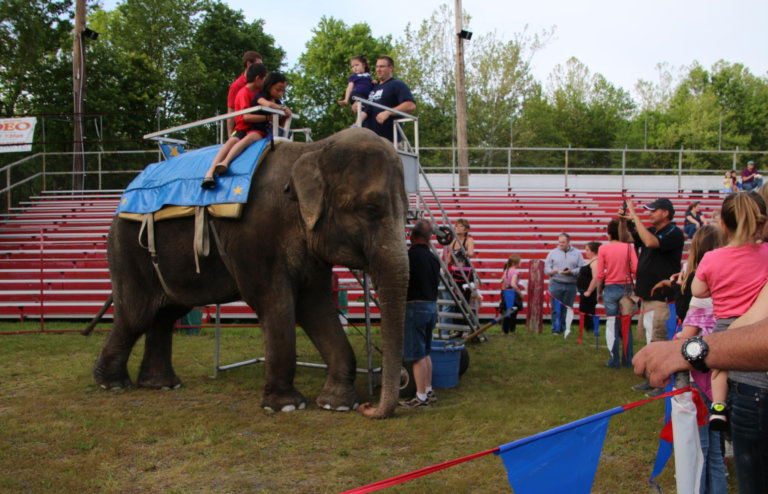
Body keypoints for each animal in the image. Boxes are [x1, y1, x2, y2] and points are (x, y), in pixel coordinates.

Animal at [90, 126, 412, 416]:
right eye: (371, 210)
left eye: (408, 213)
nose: (370, 409)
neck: (312, 149)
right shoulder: (255, 235)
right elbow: (275, 302)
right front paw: (287, 406)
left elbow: (315, 306)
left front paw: (339, 404)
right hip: (128, 248)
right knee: (137, 314)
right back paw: (112, 384)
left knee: (167, 313)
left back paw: (162, 384)